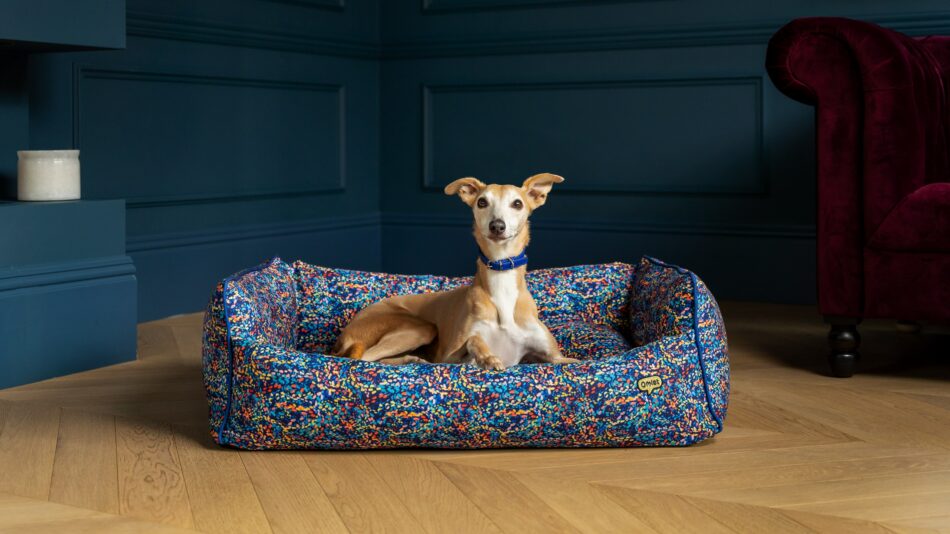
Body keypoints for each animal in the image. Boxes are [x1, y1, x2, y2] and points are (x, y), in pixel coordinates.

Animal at [330, 174, 576, 370]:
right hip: (419, 327)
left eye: (517, 203)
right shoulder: (449, 357)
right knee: (363, 358)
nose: (497, 226)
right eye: (482, 202)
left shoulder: (557, 357)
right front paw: (487, 357)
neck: (501, 281)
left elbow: (570, 361)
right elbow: (473, 341)